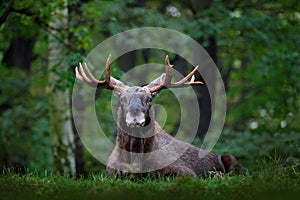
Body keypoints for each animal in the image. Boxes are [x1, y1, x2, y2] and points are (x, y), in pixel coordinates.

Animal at [74, 54, 244, 178]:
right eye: (122, 99)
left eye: (149, 99)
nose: (136, 120)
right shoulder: (110, 172)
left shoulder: (186, 172)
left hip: (233, 160)